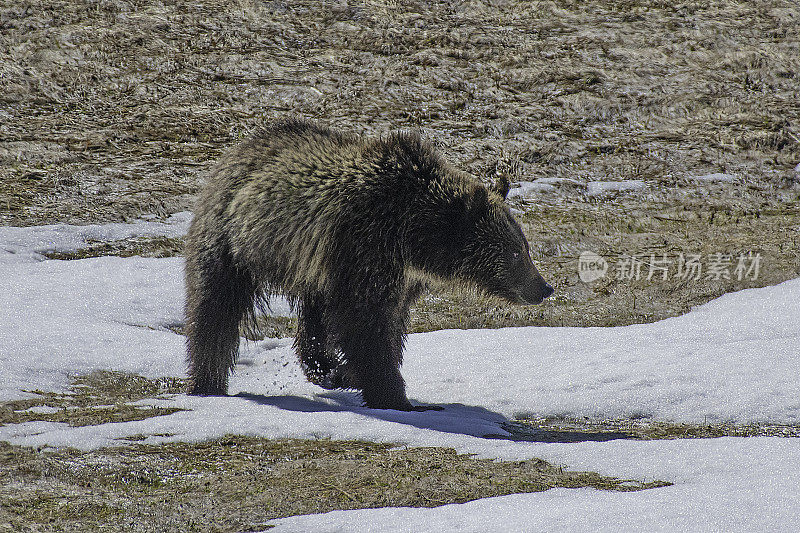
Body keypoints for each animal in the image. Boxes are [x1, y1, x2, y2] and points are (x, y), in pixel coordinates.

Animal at [184, 119, 552, 412]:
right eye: (516, 252)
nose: (544, 287)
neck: (413, 237)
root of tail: (238, 148)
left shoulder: (397, 277)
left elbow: (388, 324)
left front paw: (352, 374)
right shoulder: (366, 250)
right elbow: (366, 325)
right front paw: (393, 395)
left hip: (311, 269)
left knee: (312, 319)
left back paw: (325, 368)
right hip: (231, 241)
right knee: (215, 309)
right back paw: (207, 383)